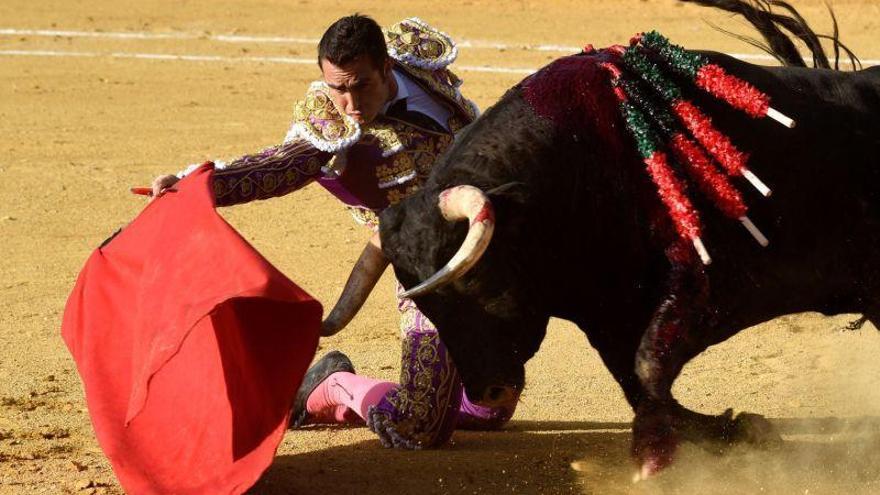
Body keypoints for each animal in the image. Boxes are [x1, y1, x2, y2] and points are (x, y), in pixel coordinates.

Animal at [320, 0, 876, 480]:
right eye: (426, 307)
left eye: (474, 283)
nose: (491, 392)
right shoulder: (608, 316)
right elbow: (637, 381)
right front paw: (735, 429)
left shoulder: (706, 282)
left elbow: (648, 367)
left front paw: (654, 457)